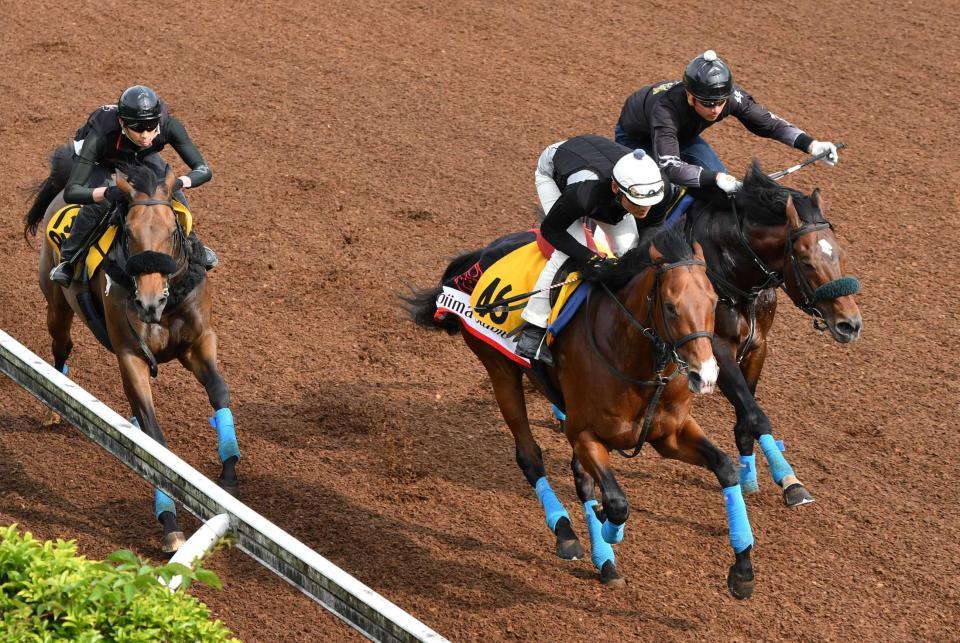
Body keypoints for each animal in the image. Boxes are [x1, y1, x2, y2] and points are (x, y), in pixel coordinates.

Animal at [23, 151, 240, 552]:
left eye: (171, 231)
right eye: (129, 233)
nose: (150, 302)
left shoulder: (199, 341)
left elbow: (219, 391)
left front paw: (229, 471)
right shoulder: (131, 356)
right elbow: (155, 441)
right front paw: (169, 523)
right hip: (57, 306)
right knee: (61, 349)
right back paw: (54, 405)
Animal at [404, 228, 756, 600]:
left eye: (714, 302)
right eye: (671, 307)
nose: (706, 376)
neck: (634, 359)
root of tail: (480, 257)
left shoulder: (670, 435)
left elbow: (725, 467)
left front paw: (743, 568)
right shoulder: (585, 433)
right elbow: (617, 502)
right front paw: (608, 531)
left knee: (580, 477)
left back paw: (603, 558)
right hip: (500, 370)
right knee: (530, 456)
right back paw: (567, 533)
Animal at [680, 162, 868, 508]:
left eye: (840, 253)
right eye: (806, 262)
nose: (850, 324)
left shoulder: (757, 346)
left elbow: (746, 416)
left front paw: (750, 476)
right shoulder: (718, 349)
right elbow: (756, 416)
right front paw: (790, 480)